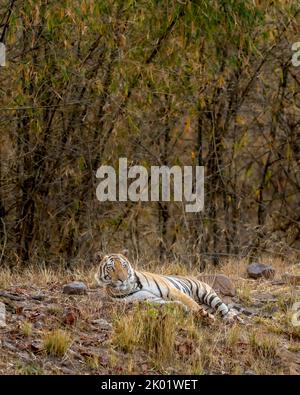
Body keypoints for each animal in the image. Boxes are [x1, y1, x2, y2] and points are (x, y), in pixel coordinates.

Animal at [94, 252, 241, 324]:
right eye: (111, 268)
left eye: (124, 265)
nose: (123, 279)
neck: (130, 287)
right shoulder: (148, 299)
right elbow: (170, 304)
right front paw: (183, 308)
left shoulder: (171, 290)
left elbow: (190, 303)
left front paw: (203, 316)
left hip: (207, 294)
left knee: (223, 308)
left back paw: (233, 318)